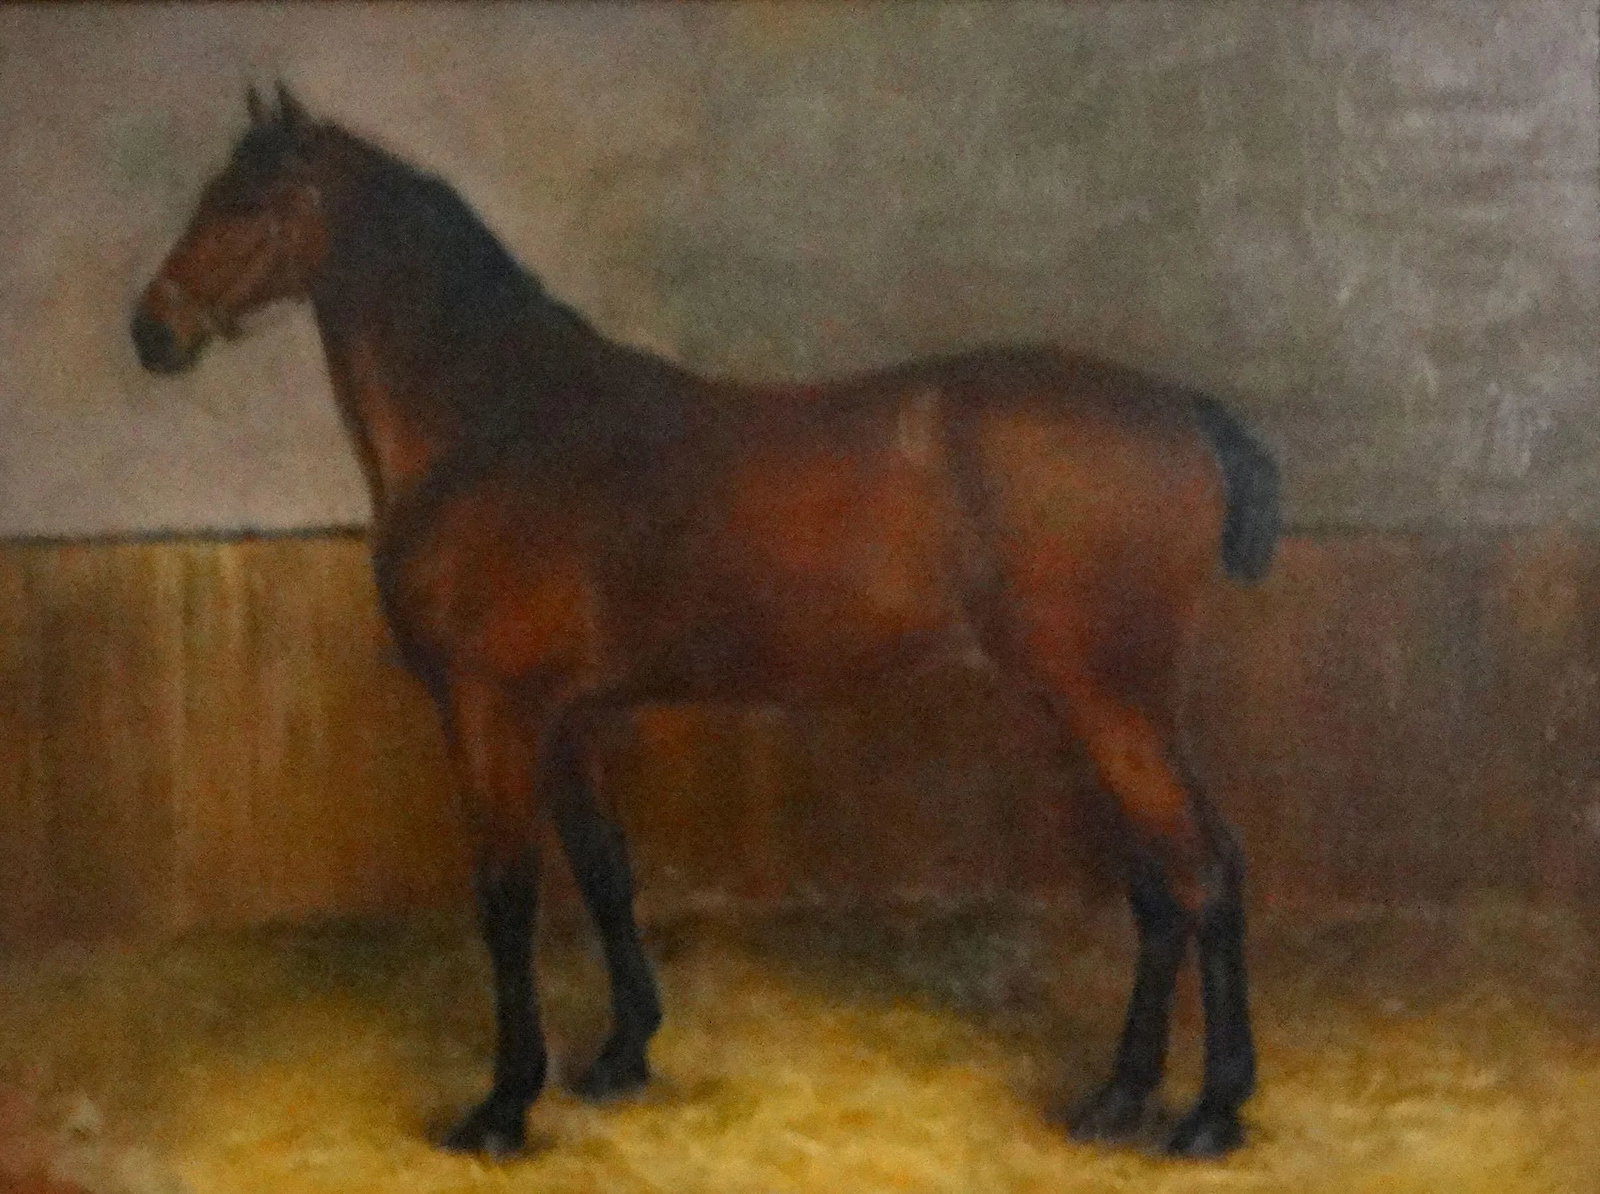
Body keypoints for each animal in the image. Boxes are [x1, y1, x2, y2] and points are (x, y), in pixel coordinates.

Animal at [132, 85, 1280, 1160]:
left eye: (247, 204)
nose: (151, 331)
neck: (496, 423)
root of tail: (1183, 410)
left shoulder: (490, 709)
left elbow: (507, 897)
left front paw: (503, 1106)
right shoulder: (569, 718)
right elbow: (604, 870)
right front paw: (619, 1055)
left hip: (1108, 704)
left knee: (1203, 871)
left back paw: (1209, 1114)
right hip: (1094, 705)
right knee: (1158, 887)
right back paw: (1120, 1098)